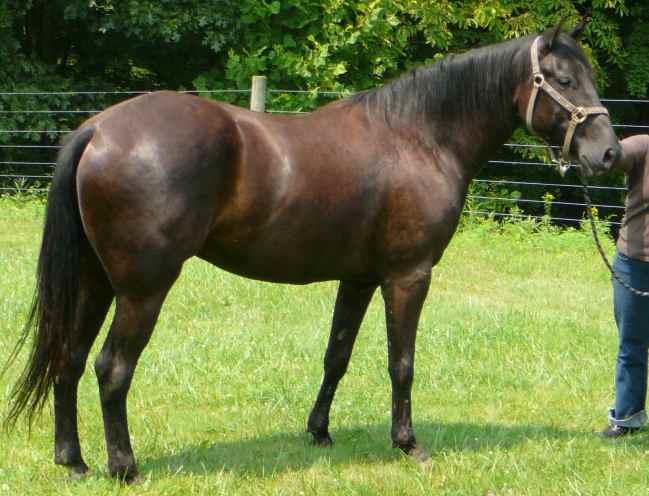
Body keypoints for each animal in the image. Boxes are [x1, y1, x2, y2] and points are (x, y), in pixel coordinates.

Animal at [4, 22, 620, 482]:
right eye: (564, 79)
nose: (609, 153)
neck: (419, 136)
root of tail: (98, 131)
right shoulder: (408, 276)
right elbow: (401, 363)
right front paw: (408, 444)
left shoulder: (359, 278)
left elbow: (337, 355)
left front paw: (319, 431)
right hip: (142, 290)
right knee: (112, 368)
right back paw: (124, 467)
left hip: (95, 282)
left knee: (69, 360)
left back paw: (75, 462)